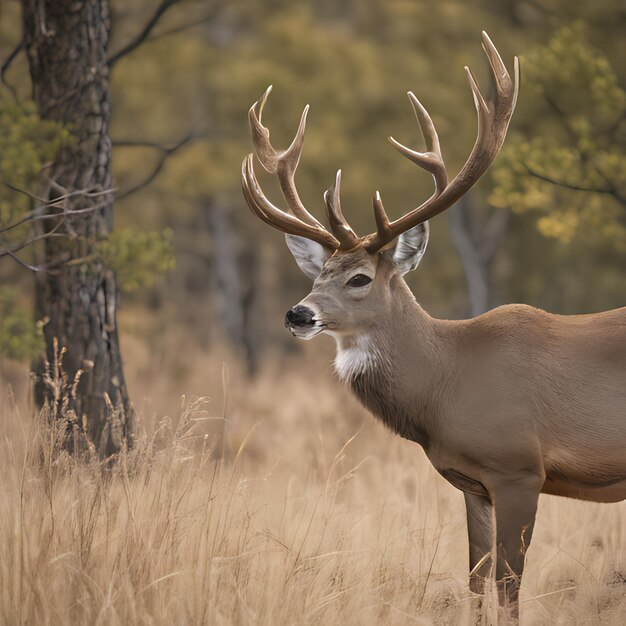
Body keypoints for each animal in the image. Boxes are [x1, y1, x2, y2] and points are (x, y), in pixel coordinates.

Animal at [239, 33, 624, 620]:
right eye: (317, 273)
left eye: (359, 278)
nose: (297, 314)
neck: (448, 380)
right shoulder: (472, 483)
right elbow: (475, 580)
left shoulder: (519, 467)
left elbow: (508, 584)